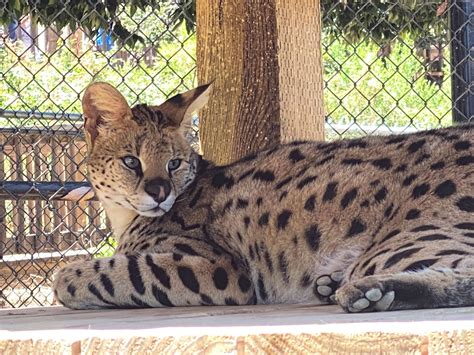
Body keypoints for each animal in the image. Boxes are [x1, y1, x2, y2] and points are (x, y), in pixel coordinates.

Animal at [53, 82, 472, 312]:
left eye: (173, 163)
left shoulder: (223, 268)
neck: (125, 218)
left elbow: (84, 274)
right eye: (131, 161)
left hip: (402, 239)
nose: (160, 192)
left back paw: (370, 291)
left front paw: (76, 278)